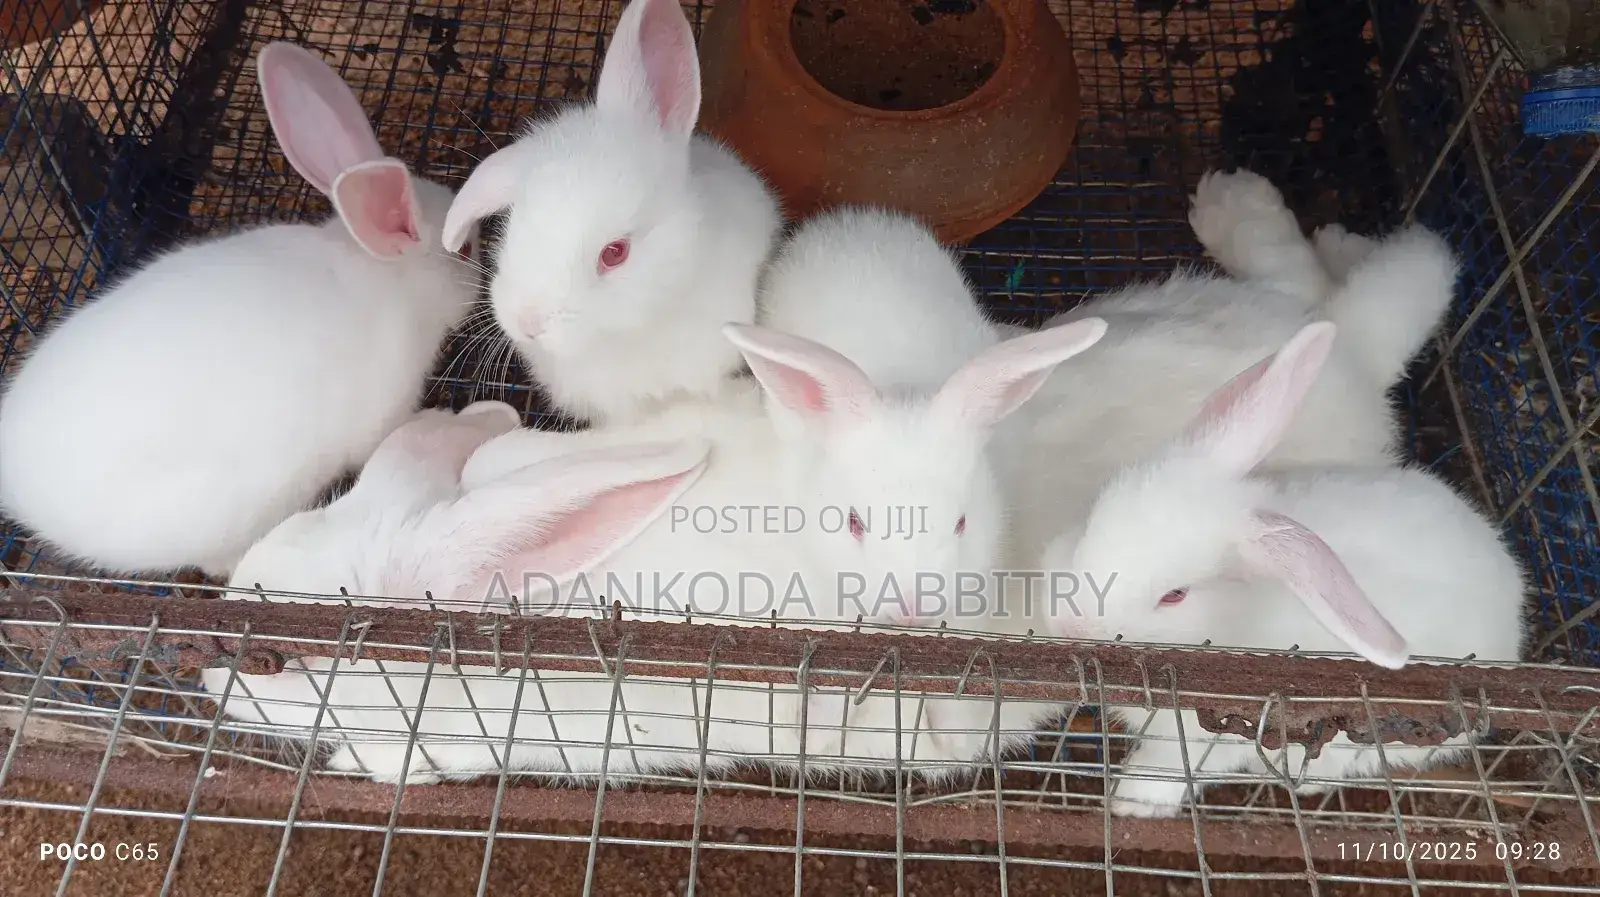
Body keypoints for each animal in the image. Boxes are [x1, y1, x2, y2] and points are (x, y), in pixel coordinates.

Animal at [1037, 321, 1529, 817]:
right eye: (1091, 520)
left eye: (1174, 595)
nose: (1068, 625)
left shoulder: (1216, 734)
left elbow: (1168, 766)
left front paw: (1131, 804)